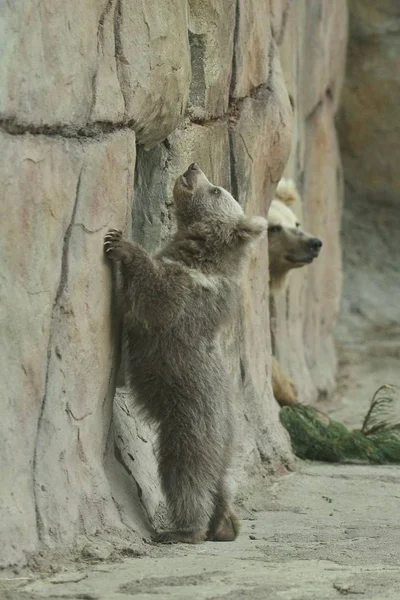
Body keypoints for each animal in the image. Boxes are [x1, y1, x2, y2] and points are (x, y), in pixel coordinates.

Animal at [103, 163, 268, 544]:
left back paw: (183, 529)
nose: (193, 167)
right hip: (220, 440)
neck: (198, 254)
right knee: (218, 484)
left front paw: (119, 243)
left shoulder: (186, 295)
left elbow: (154, 296)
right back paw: (224, 525)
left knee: (185, 473)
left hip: (190, 419)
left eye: (217, 190)